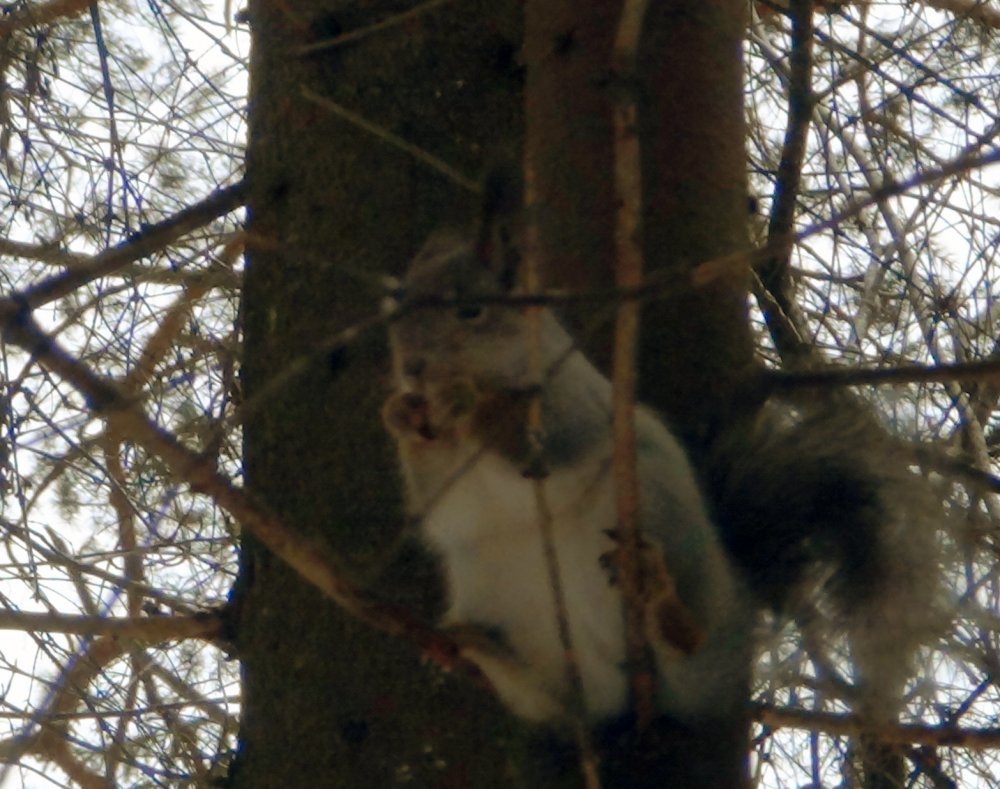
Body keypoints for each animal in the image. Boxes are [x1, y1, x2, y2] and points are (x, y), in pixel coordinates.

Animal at [381, 184, 943, 730]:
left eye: (471, 310)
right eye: (395, 312)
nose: (411, 368)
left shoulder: (578, 405)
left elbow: (547, 442)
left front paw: (467, 400)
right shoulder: (455, 488)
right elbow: (438, 505)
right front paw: (403, 416)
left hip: (660, 510)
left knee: (685, 647)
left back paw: (661, 605)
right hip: (499, 593)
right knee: (562, 702)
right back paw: (480, 648)